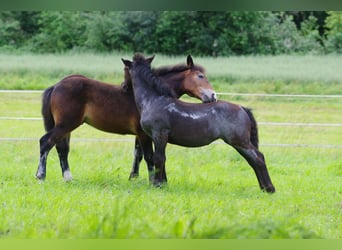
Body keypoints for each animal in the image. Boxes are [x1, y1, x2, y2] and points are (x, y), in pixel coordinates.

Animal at [35, 55, 216, 183]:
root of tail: (56, 86)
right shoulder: (144, 134)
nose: (213, 96)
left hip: (67, 127)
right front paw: (152, 181)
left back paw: (68, 178)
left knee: (62, 149)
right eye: (200, 76)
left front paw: (133, 177)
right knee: (46, 142)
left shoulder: (140, 134)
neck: (149, 95)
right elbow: (149, 156)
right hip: (66, 124)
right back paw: (41, 176)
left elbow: (138, 154)